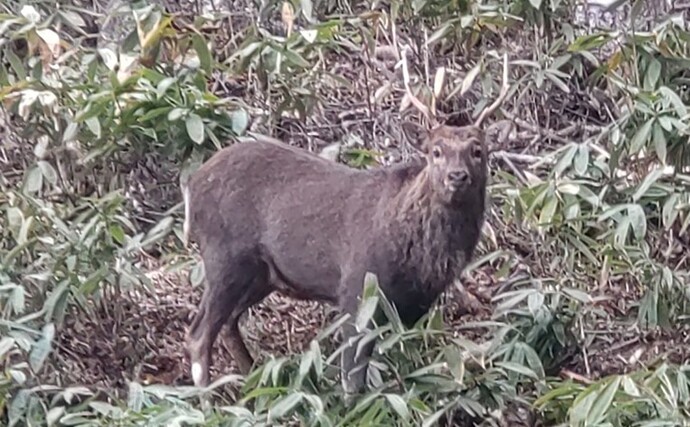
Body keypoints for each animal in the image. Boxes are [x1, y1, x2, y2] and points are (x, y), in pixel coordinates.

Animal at [181, 51, 510, 400]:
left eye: (478, 150)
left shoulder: (412, 306)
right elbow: (353, 382)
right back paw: (208, 402)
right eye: (436, 151)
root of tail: (192, 186)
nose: (457, 176)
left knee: (228, 324)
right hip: (224, 255)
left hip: (261, 274)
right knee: (199, 334)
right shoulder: (356, 288)